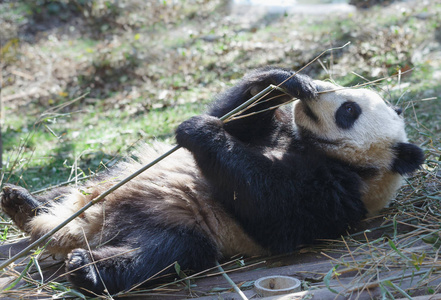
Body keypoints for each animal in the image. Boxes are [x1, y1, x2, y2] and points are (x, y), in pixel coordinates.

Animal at [0, 67, 422, 294]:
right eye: (340, 89)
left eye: (349, 110)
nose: (315, 94)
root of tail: (91, 224)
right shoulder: (278, 131)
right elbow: (237, 118)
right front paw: (282, 81)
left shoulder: (340, 195)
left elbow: (276, 211)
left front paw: (198, 130)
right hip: (102, 183)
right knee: (71, 189)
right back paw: (20, 202)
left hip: (179, 224)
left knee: (162, 253)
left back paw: (84, 266)